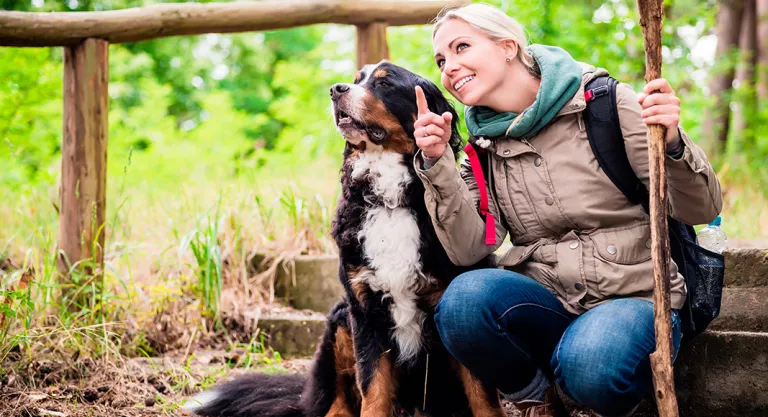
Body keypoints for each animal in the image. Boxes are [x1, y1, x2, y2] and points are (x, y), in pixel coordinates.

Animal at [185, 61, 504, 416]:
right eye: (355, 80)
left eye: (385, 83)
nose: (336, 89)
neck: (390, 200)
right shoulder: (363, 309)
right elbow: (373, 388)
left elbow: (482, 395)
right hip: (339, 320)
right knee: (337, 401)